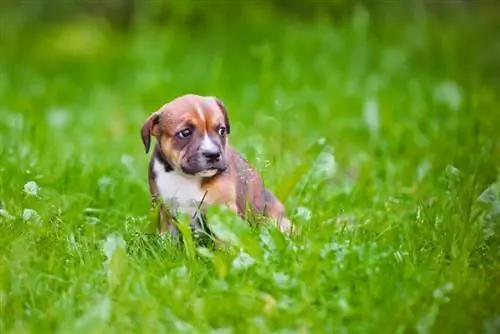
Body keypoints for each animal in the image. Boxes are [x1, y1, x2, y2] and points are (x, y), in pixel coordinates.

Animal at [139, 92, 292, 241]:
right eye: (185, 132)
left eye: (222, 130)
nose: (213, 154)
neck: (187, 177)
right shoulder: (164, 211)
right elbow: (168, 238)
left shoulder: (223, 208)